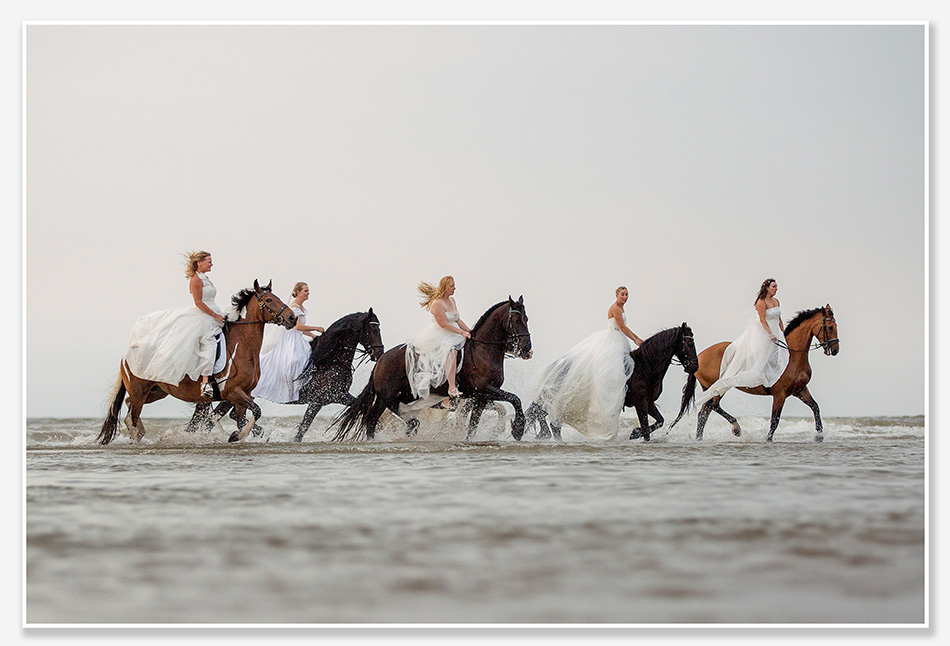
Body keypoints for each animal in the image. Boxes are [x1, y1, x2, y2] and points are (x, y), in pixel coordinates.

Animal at [97, 280, 297, 445]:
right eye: (269, 300)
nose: (292, 318)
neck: (243, 347)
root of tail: (127, 354)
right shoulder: (233, 392)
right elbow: (256, 411)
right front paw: (235, 435)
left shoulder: (244, 394)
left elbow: (243, 419)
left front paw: (237, 435)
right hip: (140, 390)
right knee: (132, 416)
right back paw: (137, 436)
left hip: (157, 391)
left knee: (129, 405)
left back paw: (141, 432)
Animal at [332, 296, 532, 442]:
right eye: (516, 319)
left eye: (527, 319)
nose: (527, 349)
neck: (483, 350)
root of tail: (381, 359)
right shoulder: (484, 390)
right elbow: (515, 399)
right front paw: (518, 429)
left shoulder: (481, 397)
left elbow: (474, 424)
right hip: (384, 397)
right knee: (372, 420)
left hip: (403, 396)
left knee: (400, 415)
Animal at [670, 305, 839, 442]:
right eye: (830, 327)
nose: (835, 350)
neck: (792, 357)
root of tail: (698, 358)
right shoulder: (780, 394)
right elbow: (775, 420)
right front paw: (768, 440)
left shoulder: (800, 390)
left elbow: (815, 407)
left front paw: (819, 435)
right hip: (716, 387)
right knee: (712, 406)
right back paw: (736, 428)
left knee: (705, 412)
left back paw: (701, 438)